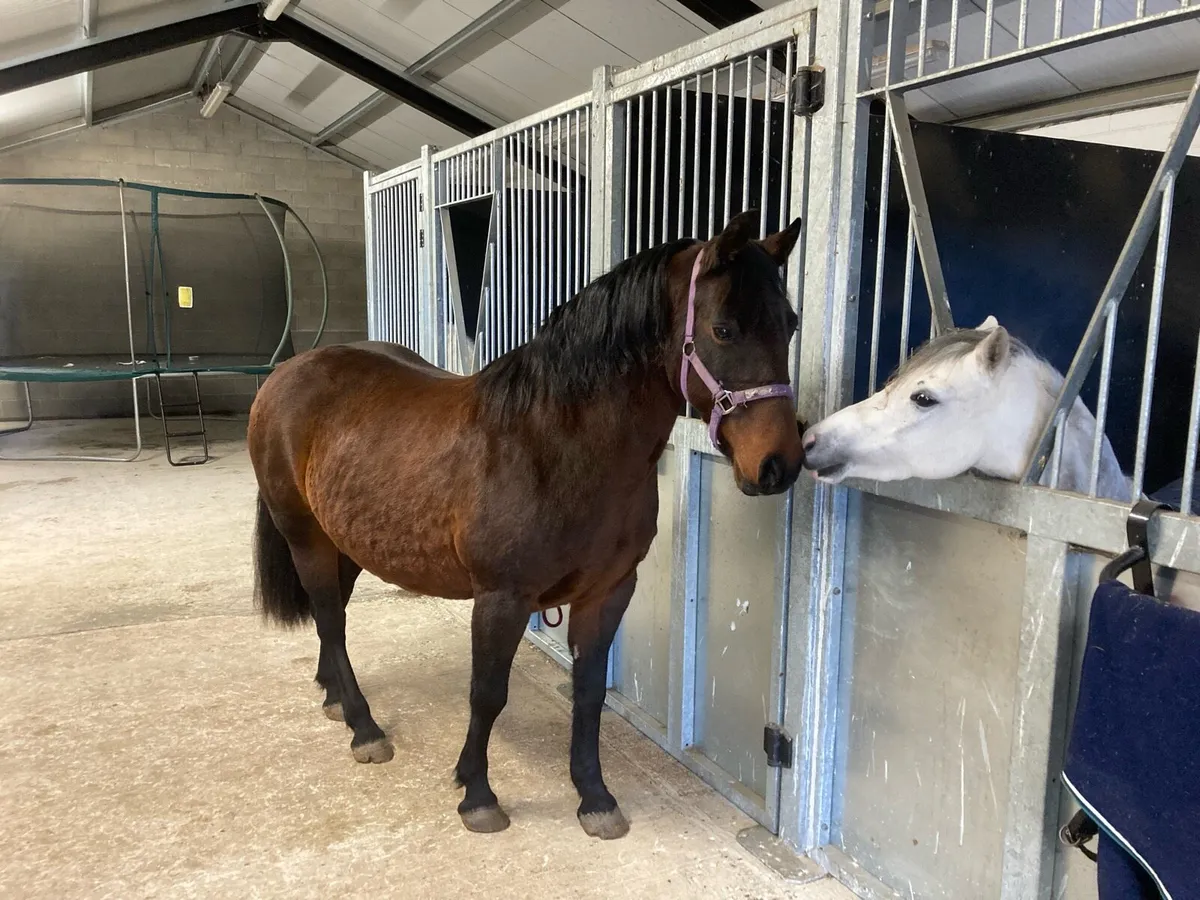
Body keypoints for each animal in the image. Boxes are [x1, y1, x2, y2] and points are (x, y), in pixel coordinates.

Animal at [247, 210, 805, 841]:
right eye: (724, 329)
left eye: (789, 324)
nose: (779, 464)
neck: (553, 445)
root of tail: (287, 373)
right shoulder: (501, 598)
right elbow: (487, 694)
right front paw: (477, 794)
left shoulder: (608, 592)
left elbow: (589, 694)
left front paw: (594, 797)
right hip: (305, 537)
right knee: (330, 619)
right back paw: (364, 728)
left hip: (341, 539)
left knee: (332, 615)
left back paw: (336, 699)